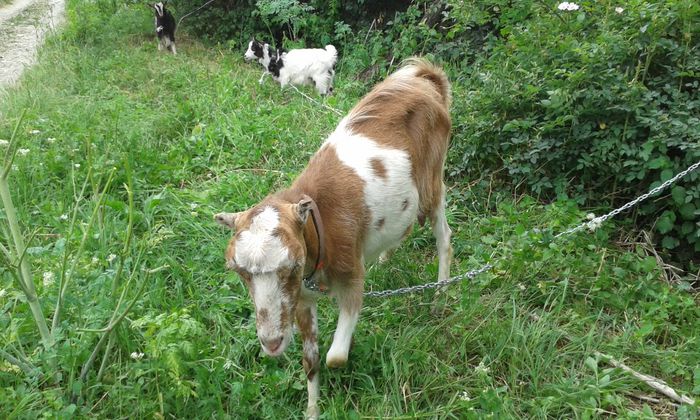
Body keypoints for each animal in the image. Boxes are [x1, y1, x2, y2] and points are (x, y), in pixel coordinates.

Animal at [215, 57, 454, 418]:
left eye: (291, 265)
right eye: (240, 272)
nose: (271, 343)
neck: (320, 225)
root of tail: (424, 78)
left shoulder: (352, 279)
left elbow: (335, 357)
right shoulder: (301, 300)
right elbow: (311, 361)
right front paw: (312, 409)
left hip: (433, 183)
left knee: (444, 237)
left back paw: (439, 296)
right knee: (406, 226)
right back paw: (385, 258)